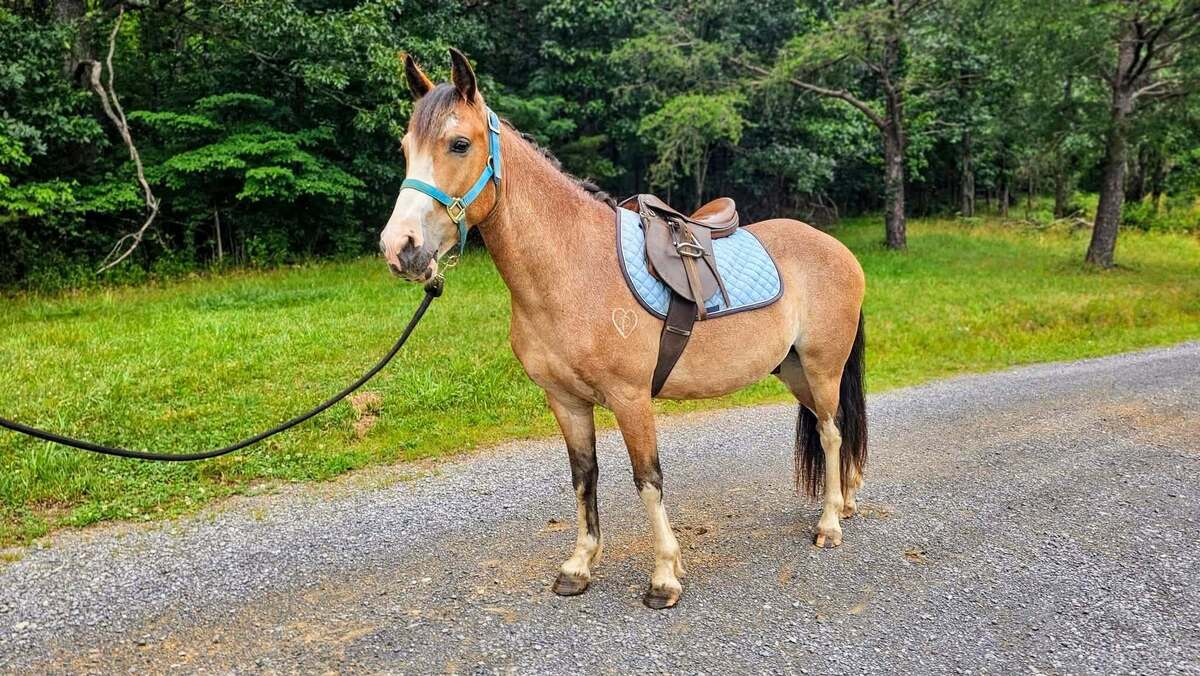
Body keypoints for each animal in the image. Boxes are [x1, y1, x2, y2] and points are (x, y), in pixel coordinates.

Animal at [380, 49, 867, 610]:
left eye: (459, 144)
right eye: (404, 149)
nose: (399, 248)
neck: (573, 268)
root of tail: (838, 249)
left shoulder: (631, 399)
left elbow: (647, 480)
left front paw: (664, 577)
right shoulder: (566, 401)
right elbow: (583, 478)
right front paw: (578, 566)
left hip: (822, 367)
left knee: (830, 432)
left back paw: (830, 524)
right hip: (793, 371)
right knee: (838, 426)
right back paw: (845, 501)